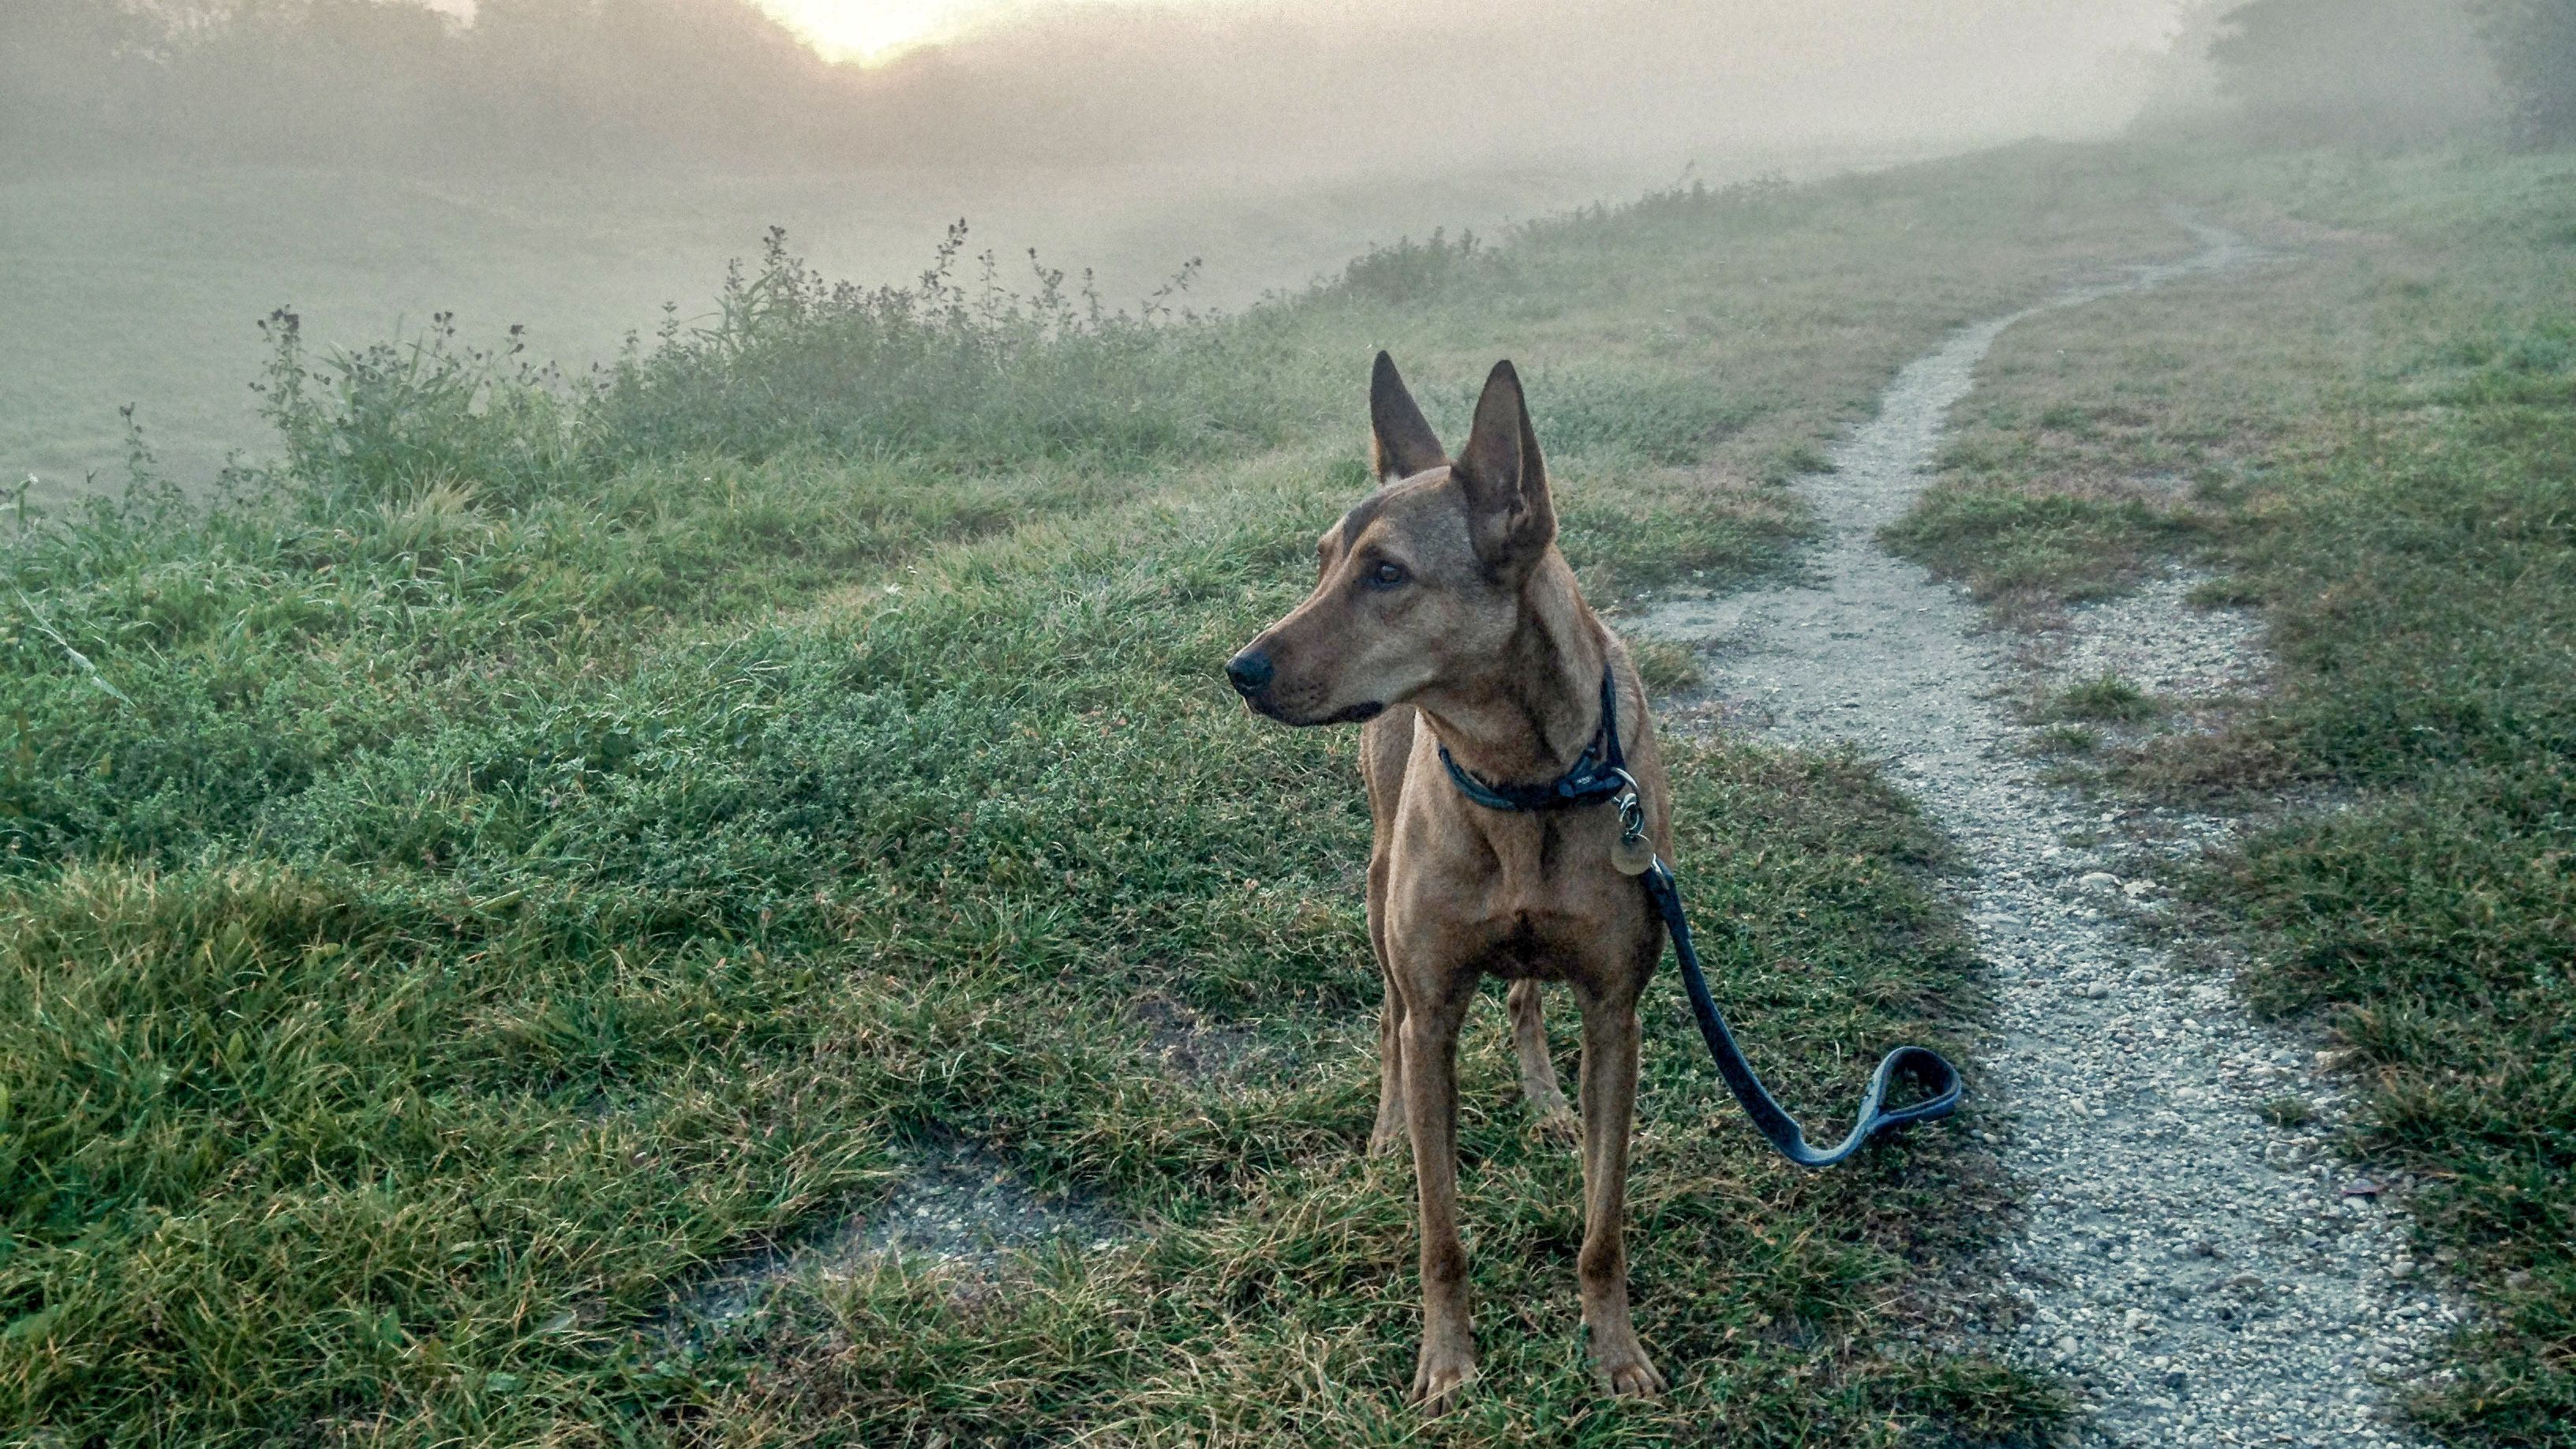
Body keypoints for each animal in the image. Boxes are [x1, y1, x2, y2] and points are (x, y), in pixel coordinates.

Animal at [1226, 355, 1669, 1402]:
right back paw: (1388, 1133)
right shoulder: (1433, 1013)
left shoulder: (1617, 1019)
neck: (1520, 778)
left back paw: (1547, 1102)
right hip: (1379, 894)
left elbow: (1603, 1223)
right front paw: (1448, 1361)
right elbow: (1441, 1232)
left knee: (1525, 1001)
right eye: (1321, 561)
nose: (1239, 668)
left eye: (1387, 573)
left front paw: (1615, 1350)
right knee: (1387, 1016)